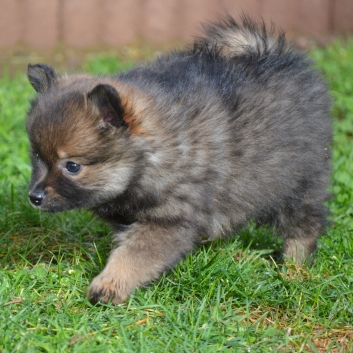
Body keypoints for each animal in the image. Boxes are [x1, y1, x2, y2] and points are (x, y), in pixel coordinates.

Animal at [25, 15, 330, 302]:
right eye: (37, 156)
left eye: (72, 166)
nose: (34, 197)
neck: (148, 160)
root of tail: (275, 55)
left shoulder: (168, 220)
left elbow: (133, 256)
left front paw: (110, 284)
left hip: (296, 185)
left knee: (304, 227)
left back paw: (294, 268)